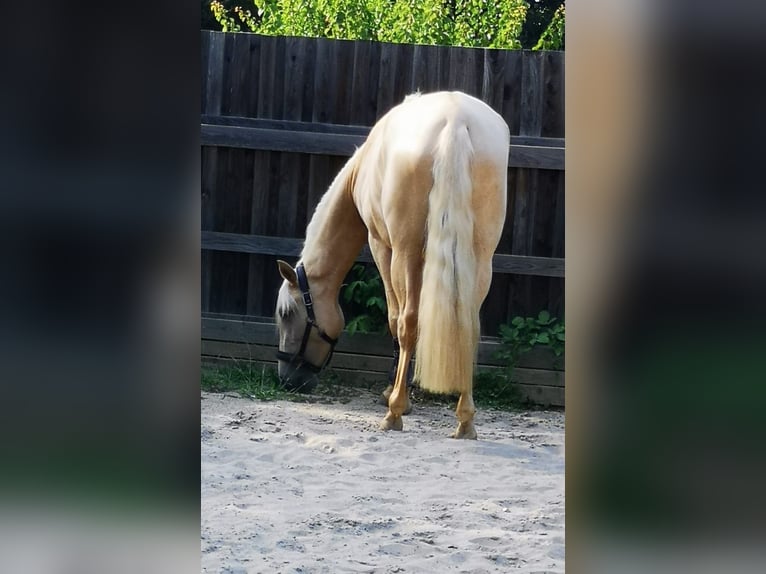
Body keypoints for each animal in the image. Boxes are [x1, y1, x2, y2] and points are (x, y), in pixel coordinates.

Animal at [276, 91, 510, 440]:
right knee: (468, 324)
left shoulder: (381, 246)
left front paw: (393, 394)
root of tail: (455, 120)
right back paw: (465, 420)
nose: (288, 379)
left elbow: (395, 319)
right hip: (480, 257)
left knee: (408, 322)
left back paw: (394, 411)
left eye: (287, 314)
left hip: (405, 252)